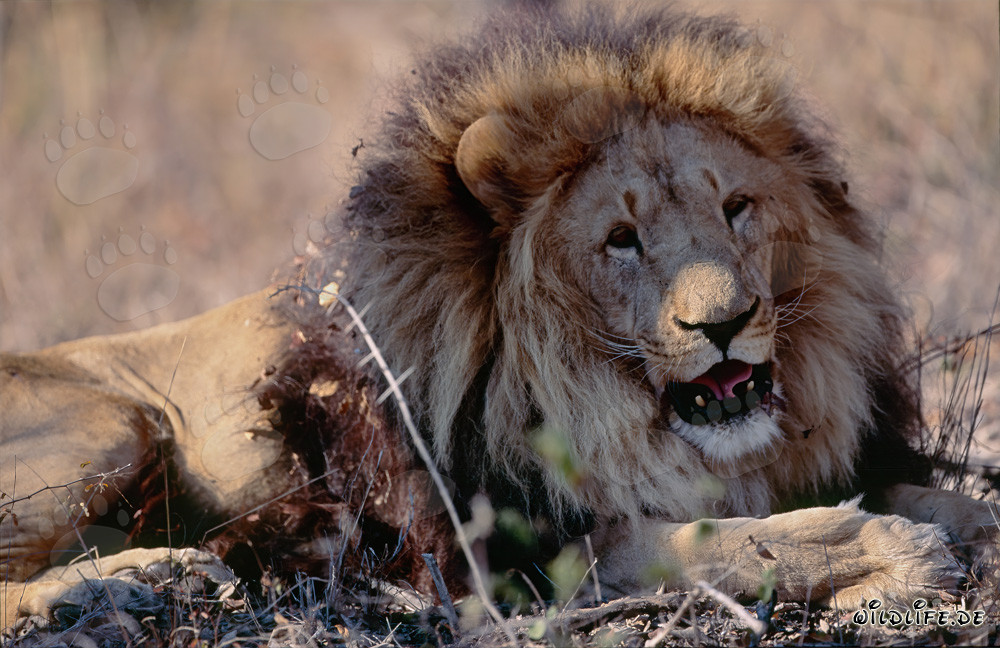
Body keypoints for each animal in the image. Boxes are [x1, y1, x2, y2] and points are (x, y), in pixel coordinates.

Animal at [2, 5, 997, 630]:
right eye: (622, 239)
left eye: (737, 208)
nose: (727, 321)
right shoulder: (525, 552)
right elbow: (721, 543)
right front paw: (893, 555)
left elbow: (936, 496)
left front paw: (959, 524)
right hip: (110, 422)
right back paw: (118, 585)